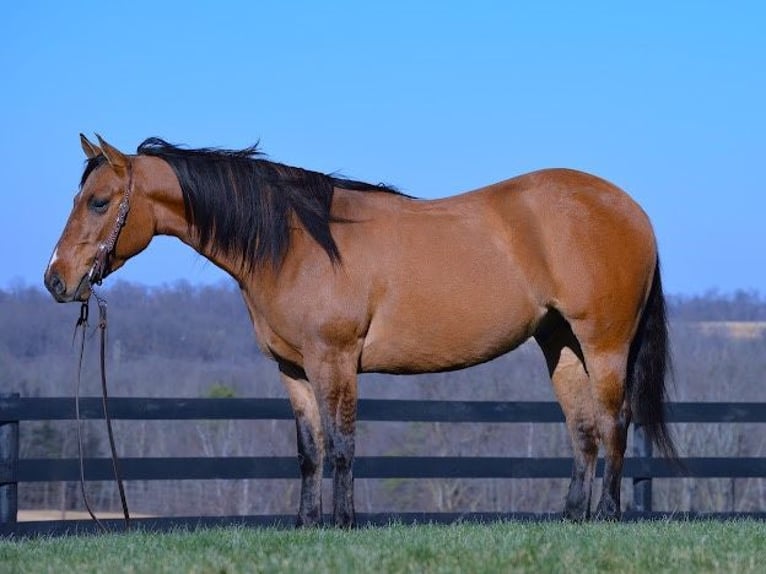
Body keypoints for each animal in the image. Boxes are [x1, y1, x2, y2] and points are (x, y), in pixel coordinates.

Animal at [45, 134, 676, 528]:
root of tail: (632, 210)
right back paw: (572, 517)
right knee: (583, 429)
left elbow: (343, 444)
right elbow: (310, 450)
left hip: (604, 342)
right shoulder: (294, 370)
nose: (57, 280)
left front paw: (343, 523)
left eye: (99, 202)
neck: (297, 243)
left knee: (613, 423)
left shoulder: (335, 360)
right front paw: (306, 524)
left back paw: (608, 516)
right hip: (559, 342)